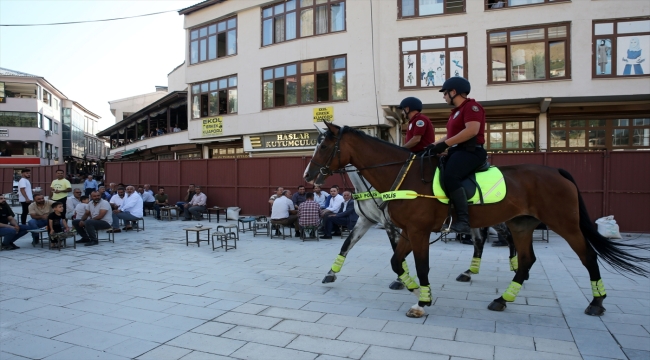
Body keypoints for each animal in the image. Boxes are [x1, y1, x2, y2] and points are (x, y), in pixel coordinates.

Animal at [304, 123, 648, 318]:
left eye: (324, 145)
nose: (308, 176)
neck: (402, 176)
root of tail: (557, 171)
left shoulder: (416, 231)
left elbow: (419, 266)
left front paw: (422, 300)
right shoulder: (404, 231)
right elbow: (394, 261)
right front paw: (414, 289)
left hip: (564, 224)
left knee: (587, 256)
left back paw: (597, 302)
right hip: (521, 223)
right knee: (524, 258)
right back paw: (503, 297)